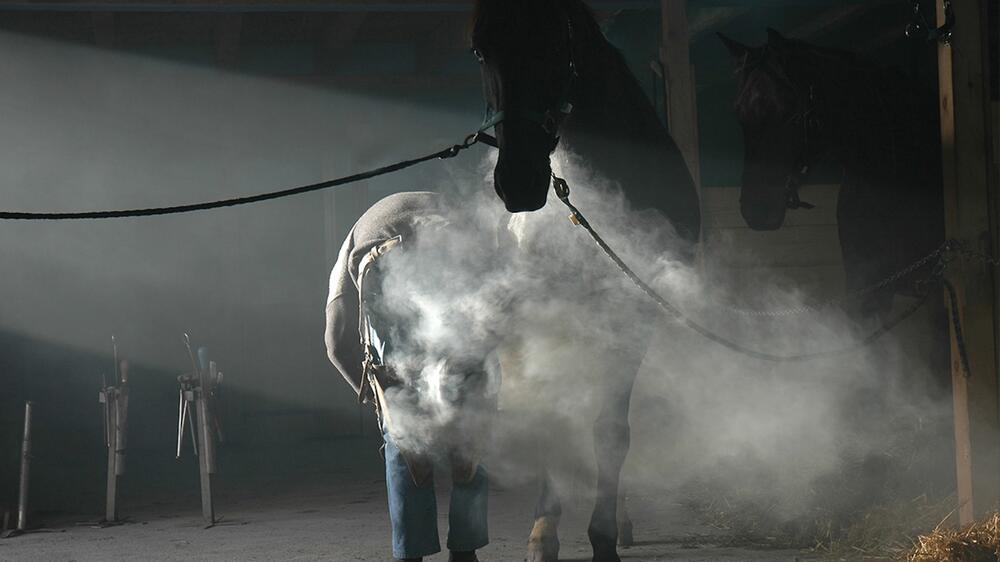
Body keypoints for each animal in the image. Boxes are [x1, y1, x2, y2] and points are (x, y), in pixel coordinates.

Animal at [470, 1, 700, 560]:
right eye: (480, 50)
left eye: (554, 42)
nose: (519, 183)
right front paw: (543, 533)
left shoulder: (632, 316)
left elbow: (613, 432)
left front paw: (602, 537)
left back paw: (622, 519)